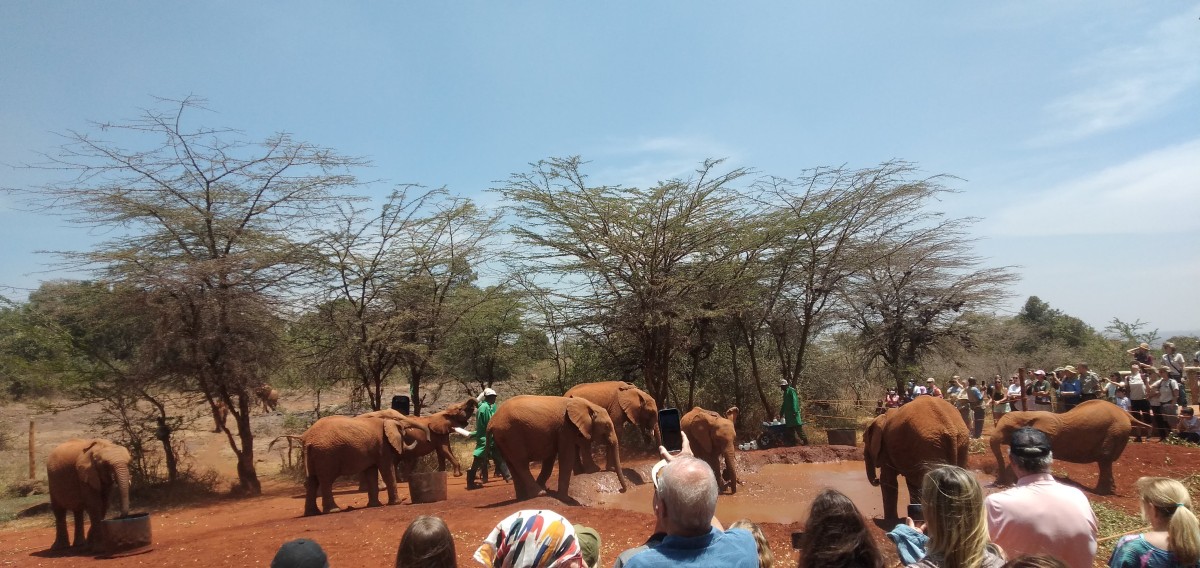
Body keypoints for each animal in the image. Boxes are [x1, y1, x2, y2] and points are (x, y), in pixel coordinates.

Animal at [299, 414, 428, 516]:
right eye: (404, 434)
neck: (387, 421)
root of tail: (308, 440)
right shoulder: (383, 446)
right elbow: (386, 470)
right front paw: (397, 503)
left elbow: (371, 473)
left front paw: (375, 505)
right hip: (326, 455)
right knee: (326, 481)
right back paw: (334, 511)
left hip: (315, 455)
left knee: (312, 481)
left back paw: (312, 513)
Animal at [489, 395, 629, 501]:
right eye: (607, 426)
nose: (621, 490)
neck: (586, 404)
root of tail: (491, 422)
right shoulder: (565, 428)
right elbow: (567, 456)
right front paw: (565, 499)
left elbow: (550, 460)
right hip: (511, 435)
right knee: (521, 463)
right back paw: (540, 494)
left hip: (503, 438)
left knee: (512, 464)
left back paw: (524, 497)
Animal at [990, 399, 1147, 494]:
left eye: (1008, 429)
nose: (997, 483)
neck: (1027, 414)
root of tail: (1126, 414)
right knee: (1106, 462)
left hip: (1114, 431)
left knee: (1104, 459)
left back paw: (1100, 492)